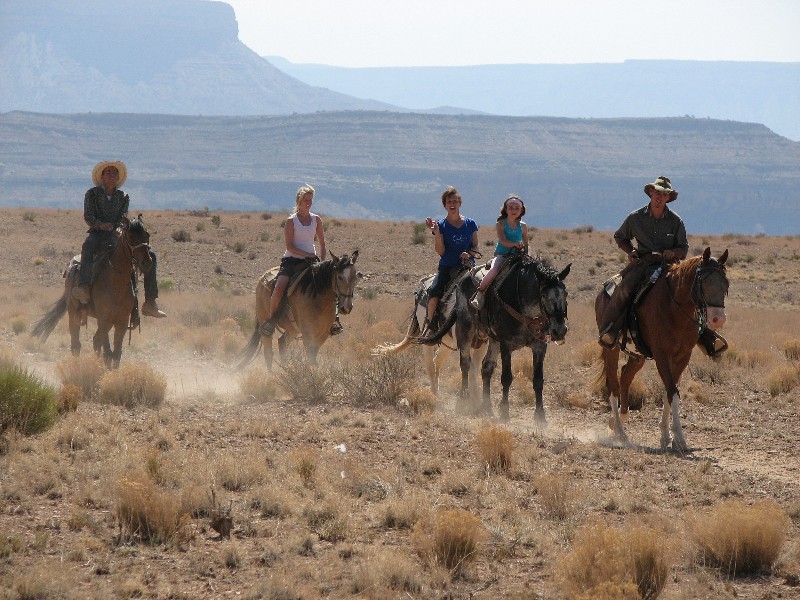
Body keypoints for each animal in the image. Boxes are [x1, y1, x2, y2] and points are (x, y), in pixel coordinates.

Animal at [31, 216, 154, 366]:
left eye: (147, 235)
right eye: (130, 236)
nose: (146, 263)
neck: (116, 284)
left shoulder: (122, 321)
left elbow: (116, 355)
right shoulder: (103, 318)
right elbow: (108, 353)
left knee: (95, 341)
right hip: (73, 312)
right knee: (76, 344)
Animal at [374, 272, 490, 408]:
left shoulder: (482, 345)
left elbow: (474, 369)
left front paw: (476, 399)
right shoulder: (463, 343)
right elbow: (469, 367)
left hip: (447, 343)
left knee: (437, 360)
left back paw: (437, 390)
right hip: (427, 339)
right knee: (430, 365)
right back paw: (435, 394)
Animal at [418, 253, 568, 422]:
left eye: (566, 293)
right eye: (543, 295)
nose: (560, 330)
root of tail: (462, 280)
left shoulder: (539, 345)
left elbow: (538, 380)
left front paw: (540, 416)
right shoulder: (506, 344)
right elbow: (506, 377)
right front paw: (504, 412)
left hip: (492, 341)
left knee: (486, 368)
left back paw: (487, 407)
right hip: (465, 330)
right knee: (465, 364)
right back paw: (463, 401)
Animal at [592, 246, 732, 452]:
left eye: (725, 284)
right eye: (704, 282)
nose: (718, 319)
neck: (674, 307)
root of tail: (603, 292)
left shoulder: (682, 356)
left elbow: (669, 392)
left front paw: (666, 436)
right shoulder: (661, 355)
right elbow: (672, 392)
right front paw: (679, 438)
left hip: (638, 355)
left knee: (625, 377)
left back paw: (617, 421)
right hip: (612, 348)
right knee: (613, 385)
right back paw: (620, 432)